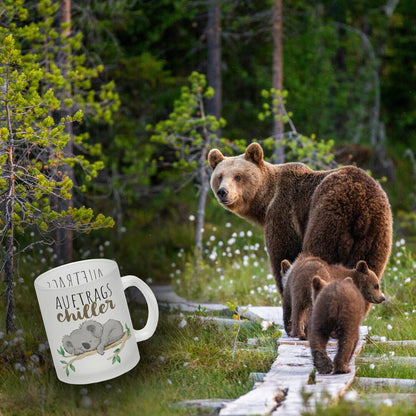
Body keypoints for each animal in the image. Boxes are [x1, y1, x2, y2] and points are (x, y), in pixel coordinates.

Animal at [208, 143, 394, 296]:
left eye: (238, 176)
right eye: (220, 176)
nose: (223, 192)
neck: (266, 200)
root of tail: (361, 206)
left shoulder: (283, 211)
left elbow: (284, 253)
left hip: (329, 215)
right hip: (376, 232)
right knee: (370, 267)